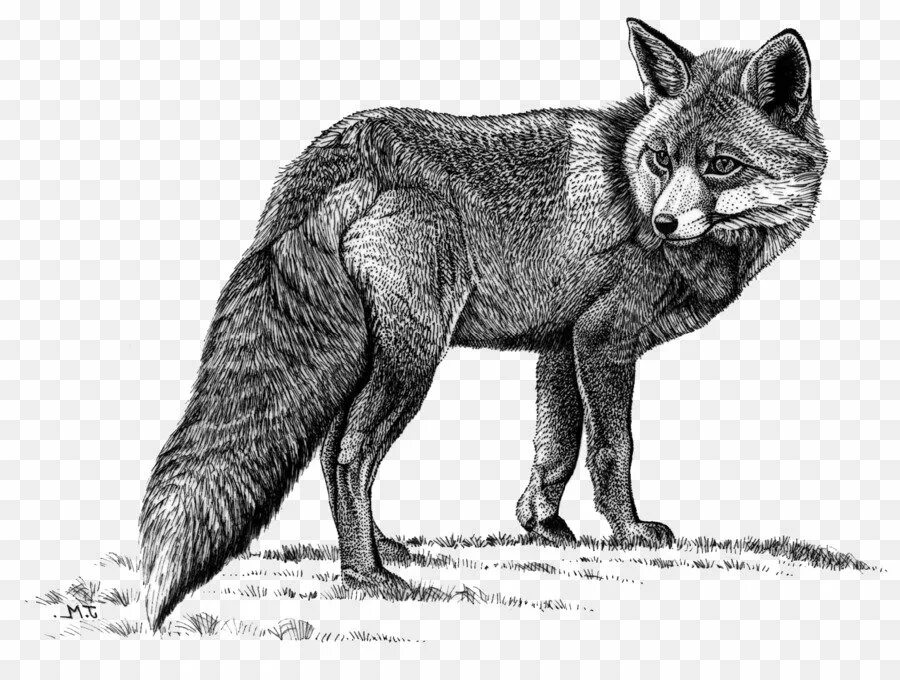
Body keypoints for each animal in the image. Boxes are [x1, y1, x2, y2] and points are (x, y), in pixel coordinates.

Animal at [140, 18, 827, 630]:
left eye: (720, 165)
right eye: (661, 158)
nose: (662, 224)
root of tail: (337, 149)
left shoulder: (561, 343)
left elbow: (555, 449)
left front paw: (543, 525)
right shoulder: (602, 340)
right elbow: (613, 449)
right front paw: (629, 530)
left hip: (370, 358)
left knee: (334, 456)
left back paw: (379, 548)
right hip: (414, 359)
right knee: (352, 455)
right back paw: (367, 576)